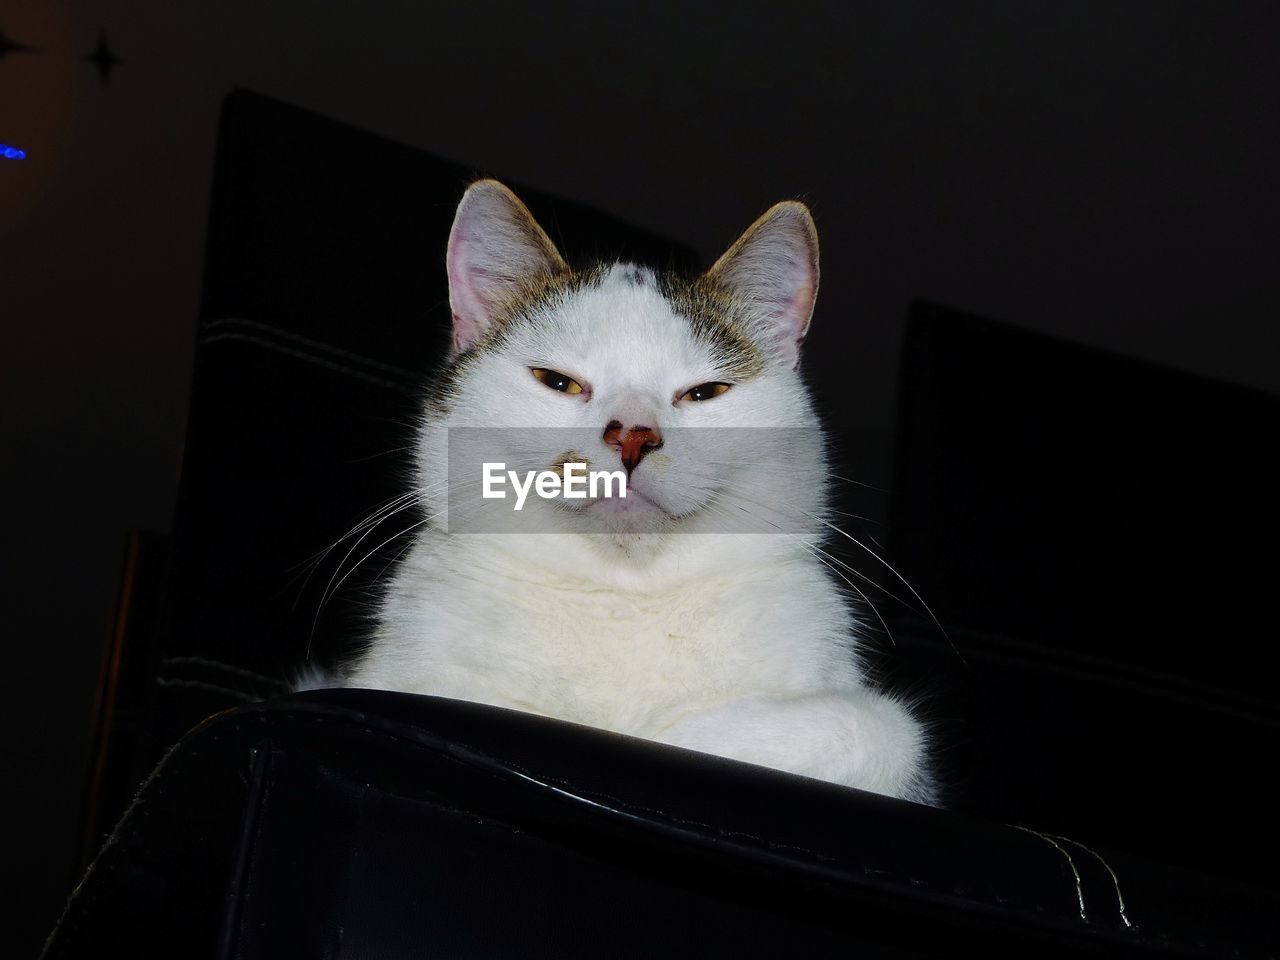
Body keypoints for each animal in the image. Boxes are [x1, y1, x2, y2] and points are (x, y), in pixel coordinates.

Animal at [340, 180, 936, 803]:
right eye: (557, 381)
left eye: (705, 392)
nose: (633, 434)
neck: (622, 601)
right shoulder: (393, 674)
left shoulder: (873, 724)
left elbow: (881, 728)